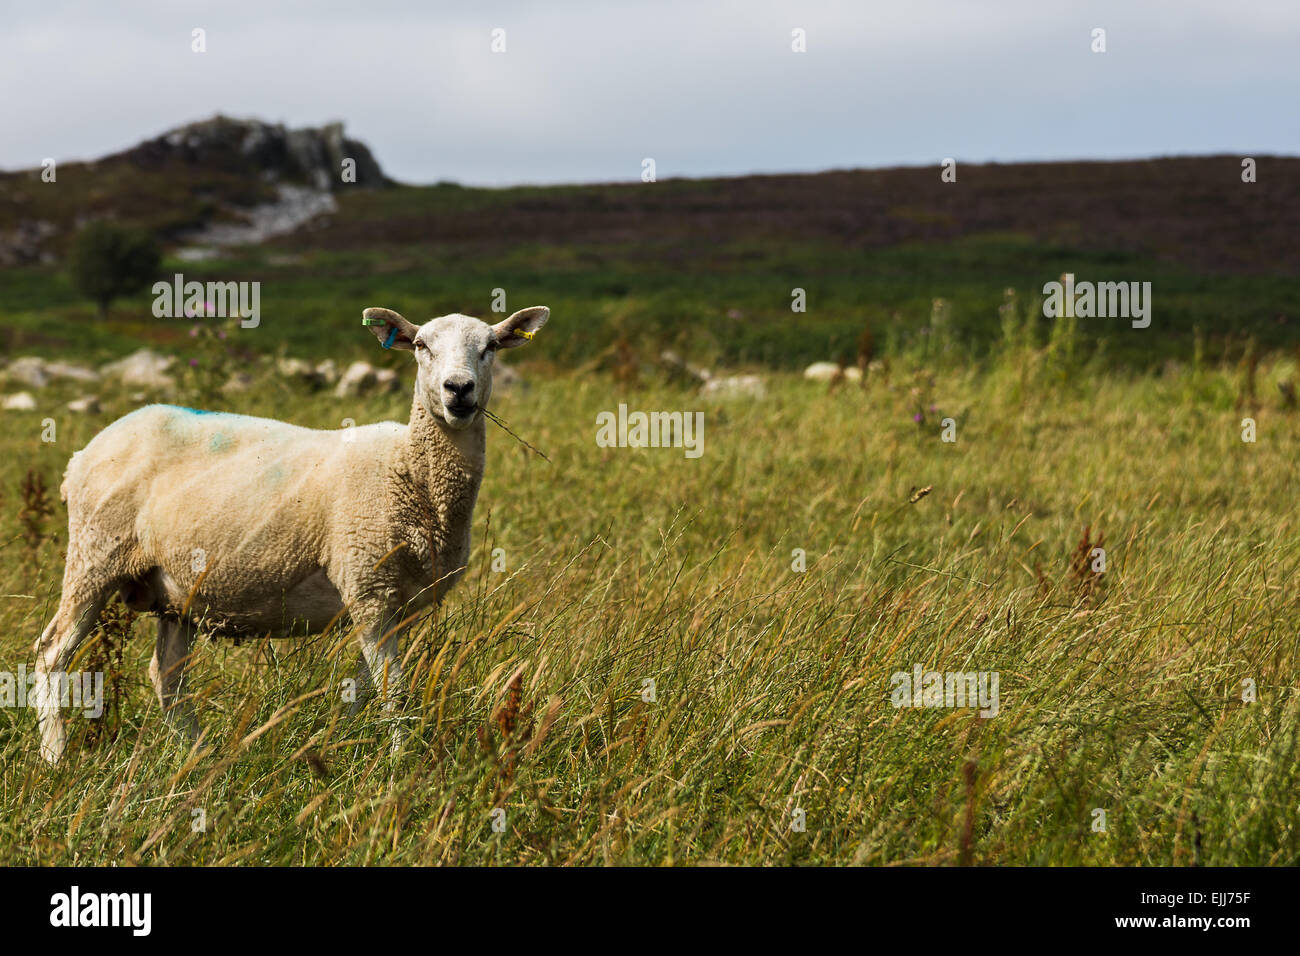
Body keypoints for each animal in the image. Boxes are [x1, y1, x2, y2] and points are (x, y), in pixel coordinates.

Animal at [32, 305, 550, 763]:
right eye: (421, 345)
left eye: (489, 347)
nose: (458, 389)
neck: (410, 468)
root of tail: (83, 453)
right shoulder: (368, 585)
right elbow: (395, 692)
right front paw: (400, 767)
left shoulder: (395, 603)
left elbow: (362, 690)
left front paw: (336, 748)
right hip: (95, 553)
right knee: (52, 653)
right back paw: (56, 759)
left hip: (175, 588)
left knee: (166, 677)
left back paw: (198, 758)